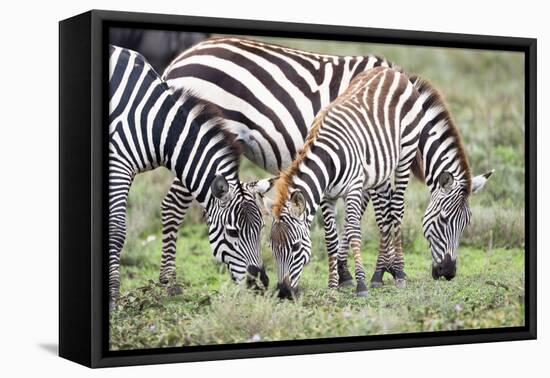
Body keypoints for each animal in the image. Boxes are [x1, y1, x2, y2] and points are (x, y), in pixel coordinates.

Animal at [108, 44, 272, 306]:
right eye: (232, 232)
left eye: (261, 228)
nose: (260, 285)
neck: (157, 126)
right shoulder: (119, 163)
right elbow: (117, 229)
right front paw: (113, 295)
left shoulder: (128, 168)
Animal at [157, 37, 394, 288]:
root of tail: (180, 59)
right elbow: (384, 213)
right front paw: (381, 272)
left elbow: (360, 215)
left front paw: (347, 272)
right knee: (172, 206)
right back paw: (168, 280)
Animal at [270, 67, 494, 298]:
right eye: (272, 247)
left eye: (295, 247)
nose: (283, 292)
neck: (328, 158)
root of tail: (390, 71)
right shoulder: (327, 196)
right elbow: (331, 237)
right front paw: (333, 286)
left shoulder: (354, 187)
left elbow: (355, 229)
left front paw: (362, 283)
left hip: (404, 155)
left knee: (396, 210)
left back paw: (400, 273)